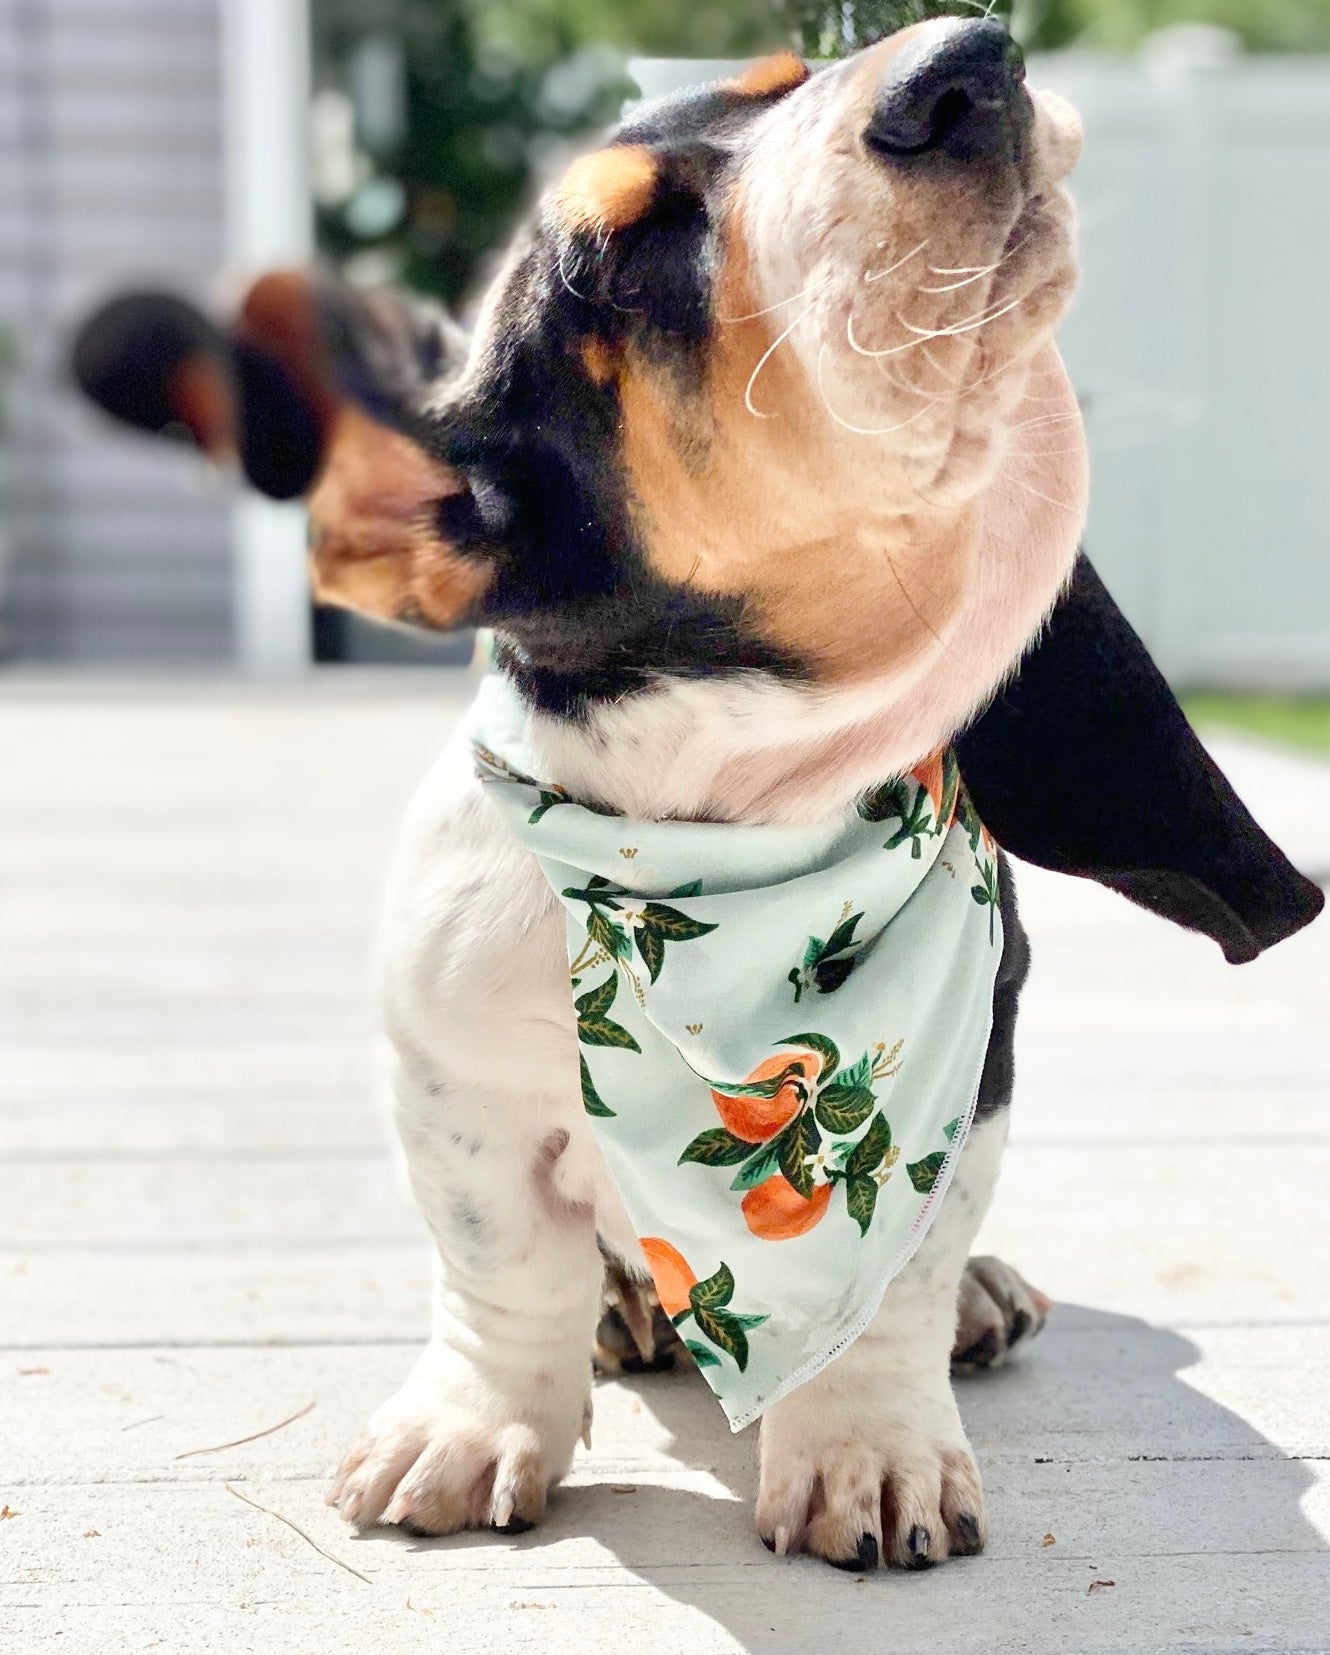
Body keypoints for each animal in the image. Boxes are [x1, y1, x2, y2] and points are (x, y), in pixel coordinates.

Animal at [75, 19, 1316, 1568]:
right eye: (614, 262)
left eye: (796, 74)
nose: (968, 62)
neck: (714, 830)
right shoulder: (455, 1081)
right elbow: (502, 1265)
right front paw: (476, 1423)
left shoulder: (970, 1086)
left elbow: (898, 1280)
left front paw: (868, 1448)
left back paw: (980, 1298)